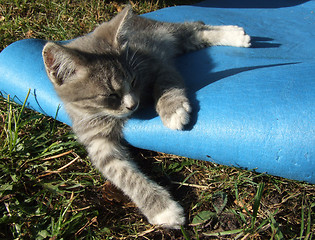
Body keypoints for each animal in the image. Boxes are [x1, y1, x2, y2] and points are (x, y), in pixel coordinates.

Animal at [42, 6, 252, 229]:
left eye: (133, 81)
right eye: (110, 95)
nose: (132, 105)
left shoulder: (154, 63)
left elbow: (166, 82)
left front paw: (172, 109)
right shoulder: (95, 138)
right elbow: (121, 172)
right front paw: (162, 208)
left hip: (161, 31)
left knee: (193, 27)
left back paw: (235, 34)